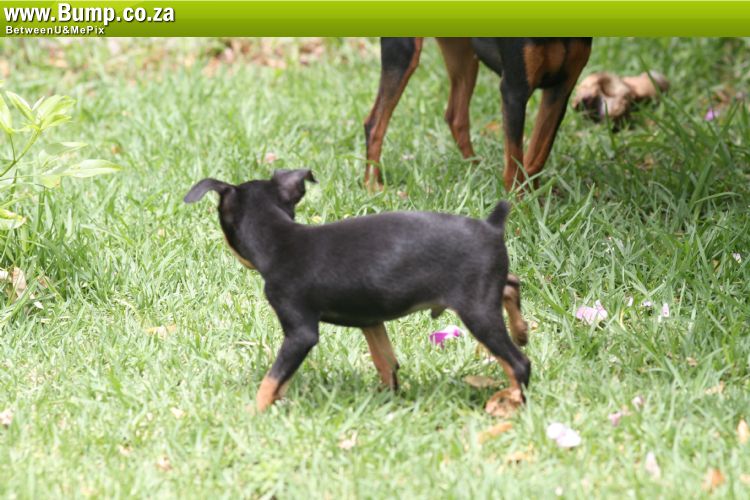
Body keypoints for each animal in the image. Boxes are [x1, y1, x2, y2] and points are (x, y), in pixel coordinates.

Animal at [185, 169, 530, 412]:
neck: (279, 239)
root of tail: (492, 225)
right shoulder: (371, 321)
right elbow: (386, 362)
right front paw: (385, 399)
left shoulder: (300, 334)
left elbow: (272, 379)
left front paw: (253, 412)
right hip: (485, 292)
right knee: (511, 283)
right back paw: (522, 330)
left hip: (476, 310)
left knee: (518, 364)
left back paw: (512, 404)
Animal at [364, 38, 592, 191]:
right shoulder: (514, 91)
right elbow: (514, 168)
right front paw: (520, 213)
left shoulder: (560, 91)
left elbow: (537, 156)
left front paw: (536, 200)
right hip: (404, 52)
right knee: (374, 123)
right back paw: (372, 186)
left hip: (463, 55)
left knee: (455, 117)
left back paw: (475, 169)